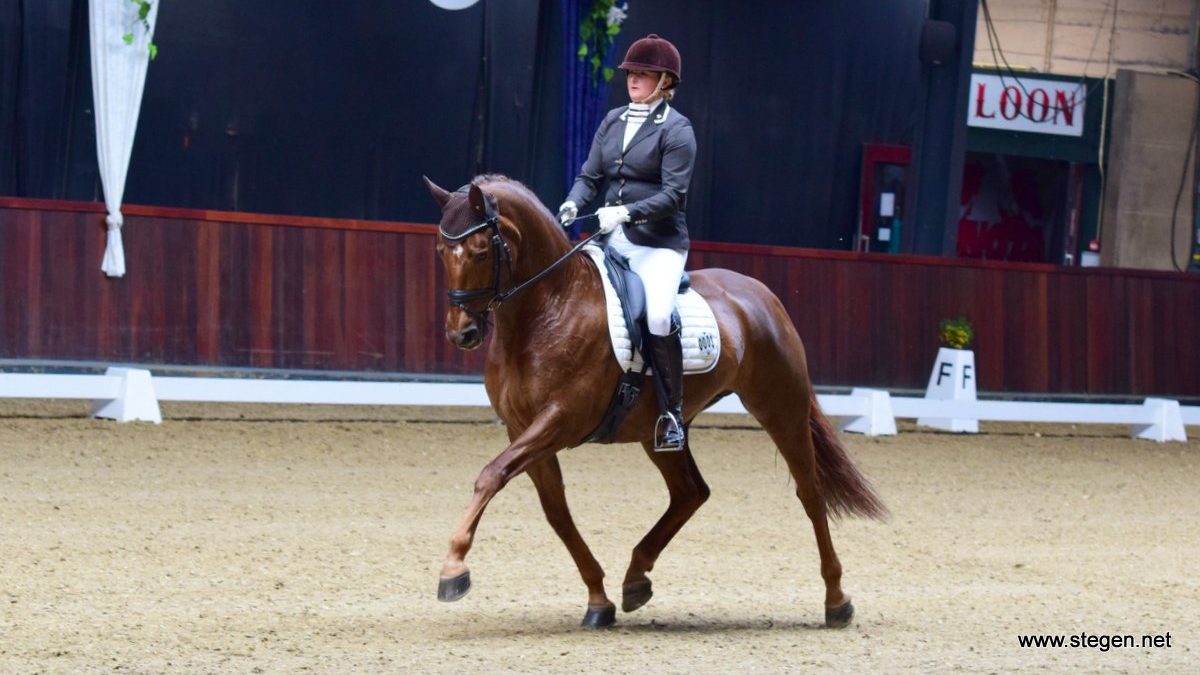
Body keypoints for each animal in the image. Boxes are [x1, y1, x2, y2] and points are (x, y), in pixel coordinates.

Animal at [422, 172, 883, 624]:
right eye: (441, 251)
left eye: (481, 251)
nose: (461, 333)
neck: (548, 309)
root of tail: (761, 294)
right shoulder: (522, 428)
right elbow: (555, 512)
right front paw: (598, 599)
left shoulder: (560, 421)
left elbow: (491, 475)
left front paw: (453, 568)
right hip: (658, 429)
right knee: (691, 492)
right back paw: (635, 578)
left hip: (781, 408)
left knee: (810, 491)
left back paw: (837, 600)